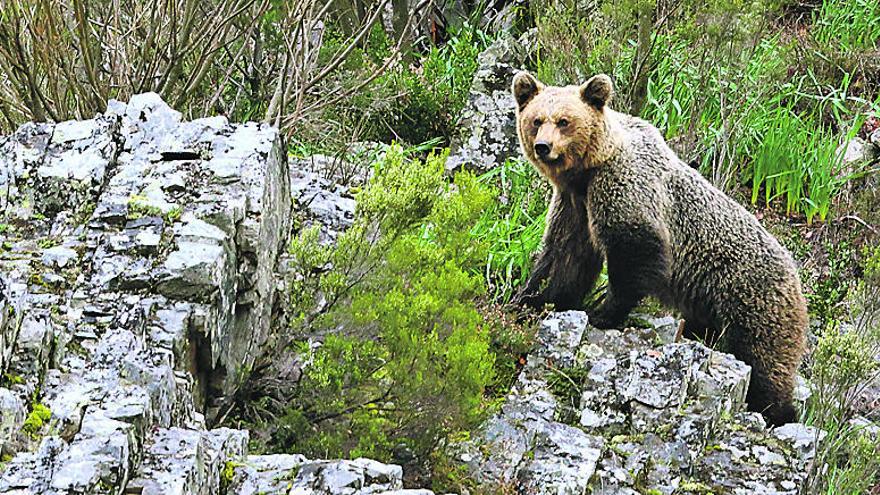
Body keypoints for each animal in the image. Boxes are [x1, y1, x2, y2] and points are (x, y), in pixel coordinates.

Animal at [512, 70, 808, 426]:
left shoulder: (625, 187)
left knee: (764, 360)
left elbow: (634, 250)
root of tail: (796, 274)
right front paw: (531, 298)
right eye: (536, 120)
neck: (589, 169)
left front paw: (603, 313)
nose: (543, 147)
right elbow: (565, 255)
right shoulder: (575, 204)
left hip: (753, 298)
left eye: (564, 121)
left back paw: (777, 412)